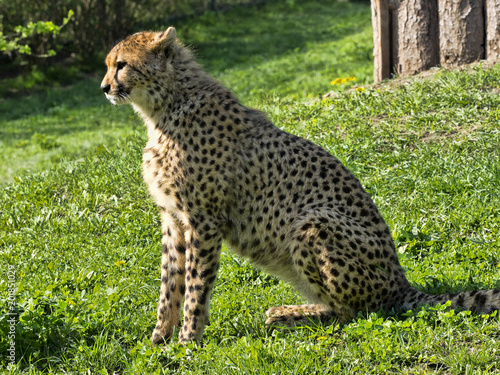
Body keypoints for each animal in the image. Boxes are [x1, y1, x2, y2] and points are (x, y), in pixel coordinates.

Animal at [99, 27, 498, 346]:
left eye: (121, 65)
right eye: (108, 64)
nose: (104, 88)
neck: (165, 106)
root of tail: (401, 282)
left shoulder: (205, 221)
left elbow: (196, 286)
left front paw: (187, 341)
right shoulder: (173, 218)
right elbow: (170, 284)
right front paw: (159, 338)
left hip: (312, 223)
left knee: (354, 312)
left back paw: (294, 316)